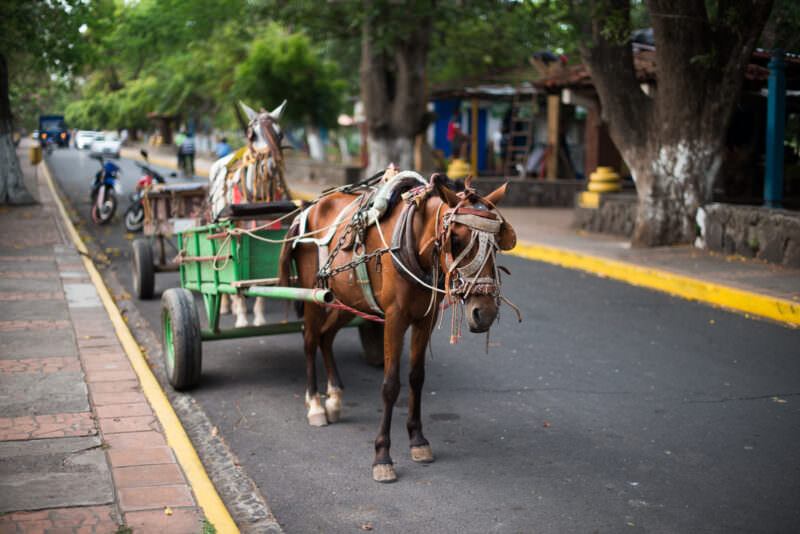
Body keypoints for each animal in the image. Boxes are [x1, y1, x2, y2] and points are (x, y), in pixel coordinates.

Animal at [208, 100, 292, 327]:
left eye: (280, 134)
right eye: (251, 134)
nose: (270, 165)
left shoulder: (266, 230)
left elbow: (260, 277)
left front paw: (259, 317)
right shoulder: (237, 231)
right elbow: (237, 275)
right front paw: (241, 319)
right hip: (219, 227)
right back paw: (227, 305)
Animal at [278, 170, 518, 482]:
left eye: (497, 244)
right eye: (455, 239)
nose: (484, 313)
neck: (412, 243)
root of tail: (309, 206)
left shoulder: (424, 319)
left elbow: (417, 377)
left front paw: (418, 440)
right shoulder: (394, 319)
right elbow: (391, 385)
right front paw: (382, 455)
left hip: (349, 298)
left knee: (325, 337)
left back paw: (334, 398)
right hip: (313, 294)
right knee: (309, 340)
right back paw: (316, 405)